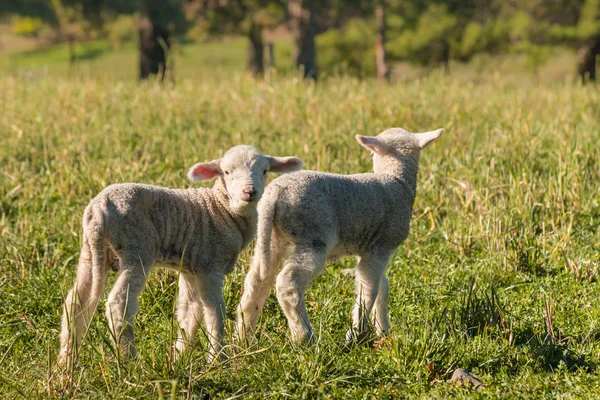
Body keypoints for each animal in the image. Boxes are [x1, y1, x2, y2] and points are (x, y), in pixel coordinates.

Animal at [56, 145, 302, 368]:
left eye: (264, 171)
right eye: (226, 172)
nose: (249, 192)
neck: (221, 208)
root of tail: (99, 208)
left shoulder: (191, 267)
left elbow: (189, 312)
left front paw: (179, 357)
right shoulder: (210, 265)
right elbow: (215, 312)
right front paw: (218, 360)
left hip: (90, 251)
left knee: (75, 301)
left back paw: (65, 362)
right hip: (136, 249)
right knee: (119, 302)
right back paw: (130, 361)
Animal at [237, 127, 442, 344]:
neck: (397, 181)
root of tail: (273, 194)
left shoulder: (367, 248)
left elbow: (381, 287)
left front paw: (382, 330)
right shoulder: (380, 247)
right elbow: (369, 288)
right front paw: (357, 334)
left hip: (273, 236)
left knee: (256, 280)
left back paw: (243, 336)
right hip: (313, 235)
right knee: (287, 284)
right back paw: (304, 336)